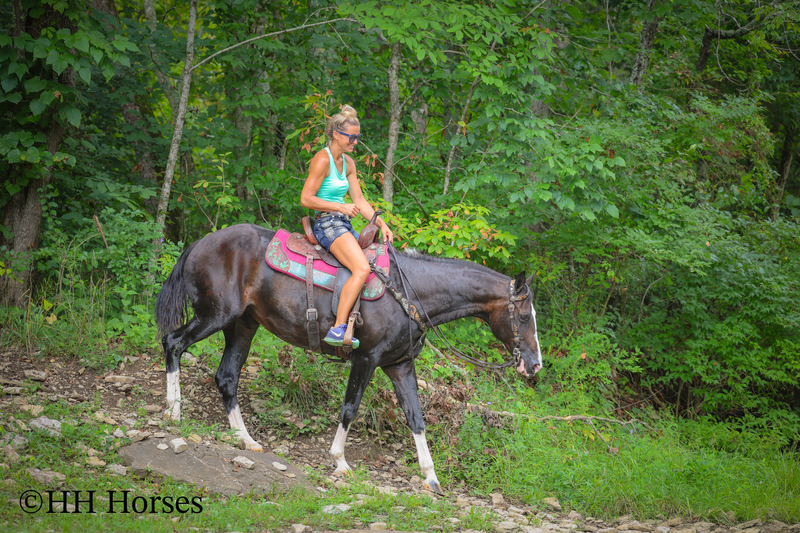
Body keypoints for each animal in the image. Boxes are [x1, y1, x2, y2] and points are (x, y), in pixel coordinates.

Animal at [154, 223, 542, 495]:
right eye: (524, 317)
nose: (534, 364)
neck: (410, 291)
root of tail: (199, 244)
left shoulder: (400, 365)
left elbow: (416, 419)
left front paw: (431, 477)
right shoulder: (366, 359)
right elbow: (350, 408)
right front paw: (339, 461)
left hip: (242, 325)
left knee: (227, 377)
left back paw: (246, 439)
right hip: (215, 316)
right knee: (173, 343)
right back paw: (173, 411)